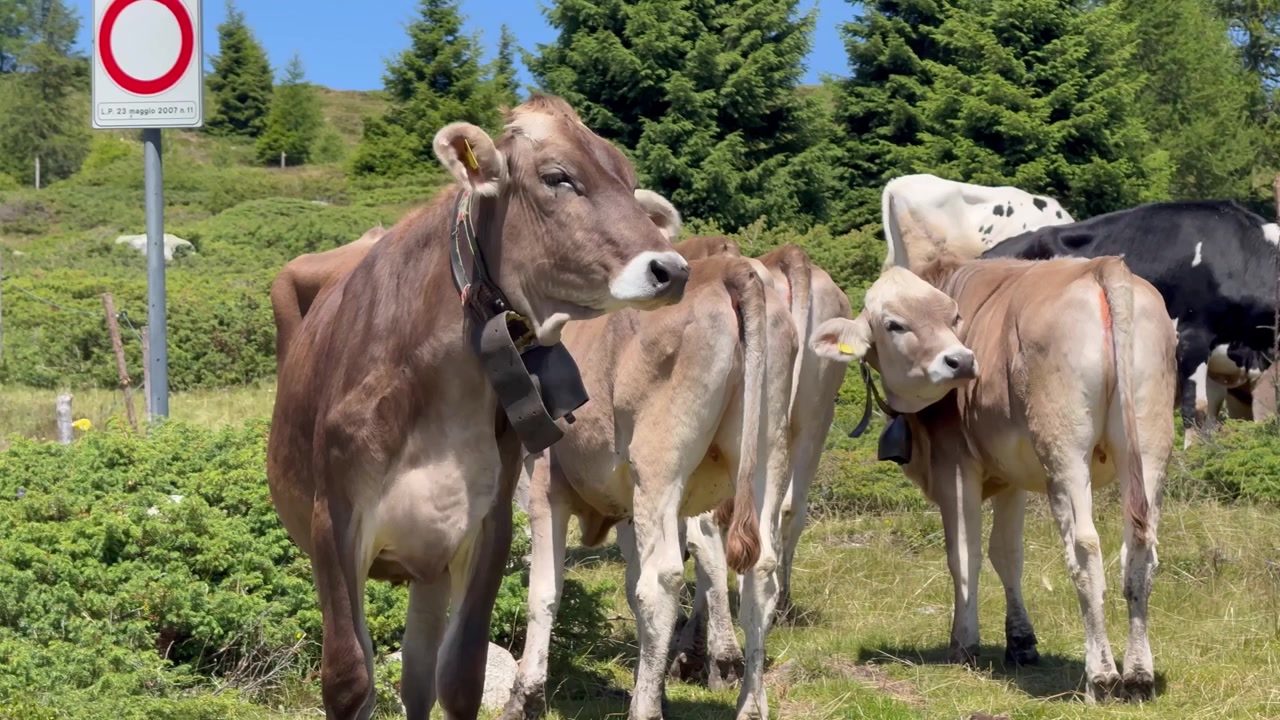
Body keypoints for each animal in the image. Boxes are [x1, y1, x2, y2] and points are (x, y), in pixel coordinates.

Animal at [266, 94, 692, 720]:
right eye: (557, 177)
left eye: (628, 179)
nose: (673, 268)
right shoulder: (334, 521)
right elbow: (348, 678)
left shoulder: (486, 527)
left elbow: (460, 676)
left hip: (429, 564)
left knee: (418, 679)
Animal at [500, 253, 797, 720]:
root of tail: (728, 266)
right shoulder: (626, 506)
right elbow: (630, 588)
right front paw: (650, 685)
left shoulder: (546, 487)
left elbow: (545, 592)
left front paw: (524, 696)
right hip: (769, 454)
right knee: (759, 577)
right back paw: (749, 706)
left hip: (659, 462)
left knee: (662, 581)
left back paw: (646, 710)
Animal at [811, 199, 1176, 703]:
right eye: (894, 324)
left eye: (952, 317)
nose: (961, 361)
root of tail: (1105, 269)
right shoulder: (1013, 474)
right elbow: (1007, 554)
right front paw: (1020, 642)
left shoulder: (955, 465)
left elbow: (964, 553)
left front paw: (964, 642)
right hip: (1150, 445)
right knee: (1140, 549)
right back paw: (1138, 674)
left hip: (1065, 453)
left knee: (1085, 548)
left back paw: (1101, 674)